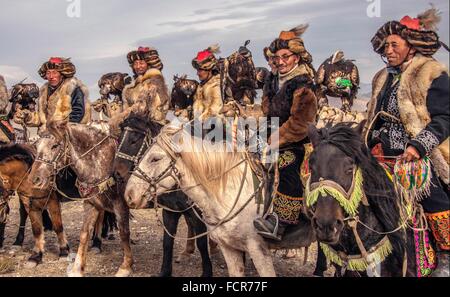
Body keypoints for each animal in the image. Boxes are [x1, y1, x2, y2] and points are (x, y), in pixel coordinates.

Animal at [27, 121, 133, 276]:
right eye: (36, 146)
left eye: (55, 145)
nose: (34, 179)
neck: (101, 162)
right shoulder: (91, 203)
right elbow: (84, 233)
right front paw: (77, 268)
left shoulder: (120, 204)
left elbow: (124, 233)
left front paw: (125, 267)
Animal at [111, 112, 212, 276]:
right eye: (119, 138)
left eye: (134, 140)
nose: (116, 174)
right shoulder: (170, 211)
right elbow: (167, 243)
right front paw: (165, 271)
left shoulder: (197, 213)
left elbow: (202, 243)